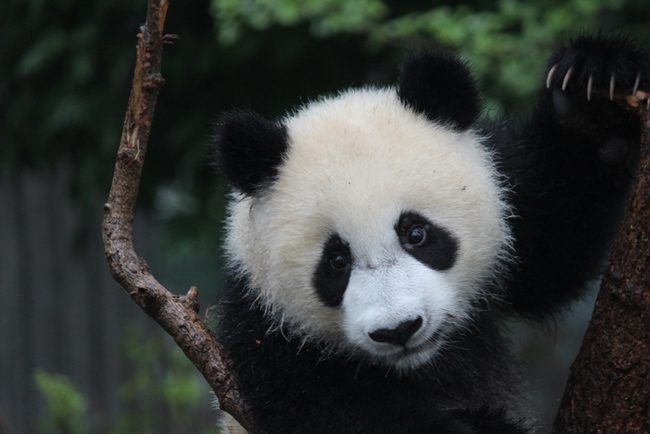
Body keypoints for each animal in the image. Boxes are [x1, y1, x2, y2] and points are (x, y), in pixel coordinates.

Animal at [214, 35, 647, 433]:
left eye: (416, 234)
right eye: (336, 260)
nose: (398, 330)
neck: (421, 363)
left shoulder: (509, 191)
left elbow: (555, 243)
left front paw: (592, 97)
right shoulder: (265, 328)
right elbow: (333, 409)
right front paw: (483, 425)